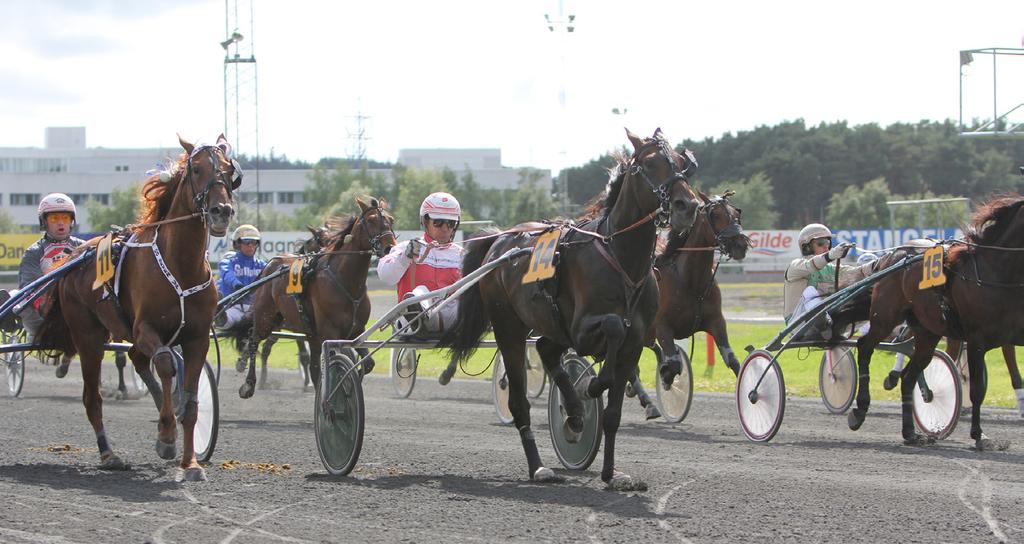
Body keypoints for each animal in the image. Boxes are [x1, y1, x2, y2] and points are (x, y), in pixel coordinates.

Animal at [37, 136, 236, 481]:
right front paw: (166, 436)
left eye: (228, 170)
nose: (220, 211)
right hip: (88, 336)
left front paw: (191, 463)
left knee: (136, 358)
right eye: (197, 169)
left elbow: (192, 399)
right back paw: (109, 454)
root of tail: (73, 256)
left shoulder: (197, 338)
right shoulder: (146, 329)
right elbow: (167, 365)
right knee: (93, 398)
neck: (180, 265)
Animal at [235, 197, 395, 397]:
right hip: (266, 318)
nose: (390, 247)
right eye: (372, 220)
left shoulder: (356, 330)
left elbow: (367, 363)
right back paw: (249, 383)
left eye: (391, 219)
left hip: (306, 331)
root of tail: (271, 264)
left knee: (311, 366)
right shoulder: (330, 331)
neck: (345, 281)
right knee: (254, 340)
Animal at [436, 128, 700, 489]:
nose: (687, 205)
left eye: (680, 163)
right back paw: (538, 466)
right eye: (648, 163)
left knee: (547, 350)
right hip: (509, 327)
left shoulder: (634, 342)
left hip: (551, 325)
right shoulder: (583, 329)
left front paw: (611, 473)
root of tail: (500, 241)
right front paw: (592, 385)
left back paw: (574, 413)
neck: (622, 259)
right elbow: (612, 332)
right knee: (519, 401)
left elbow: (614, 413)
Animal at [651, 191, 749, 387]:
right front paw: (665, 374)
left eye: (737, 213)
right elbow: (674, 364)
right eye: (716, 215)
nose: (740, 244)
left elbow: (733, 360)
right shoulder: (661, 327)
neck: (691, 283)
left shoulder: (716, 321)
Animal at [851, 193, 1024, 448]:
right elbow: (977, 389)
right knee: (864, 347)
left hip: (927, 332)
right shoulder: (975, 340)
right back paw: (860, 410)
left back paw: (910, 433)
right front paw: (978, 435)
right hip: (885, 317)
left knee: (908, 377)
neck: (998, 274)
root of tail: (894, 255)